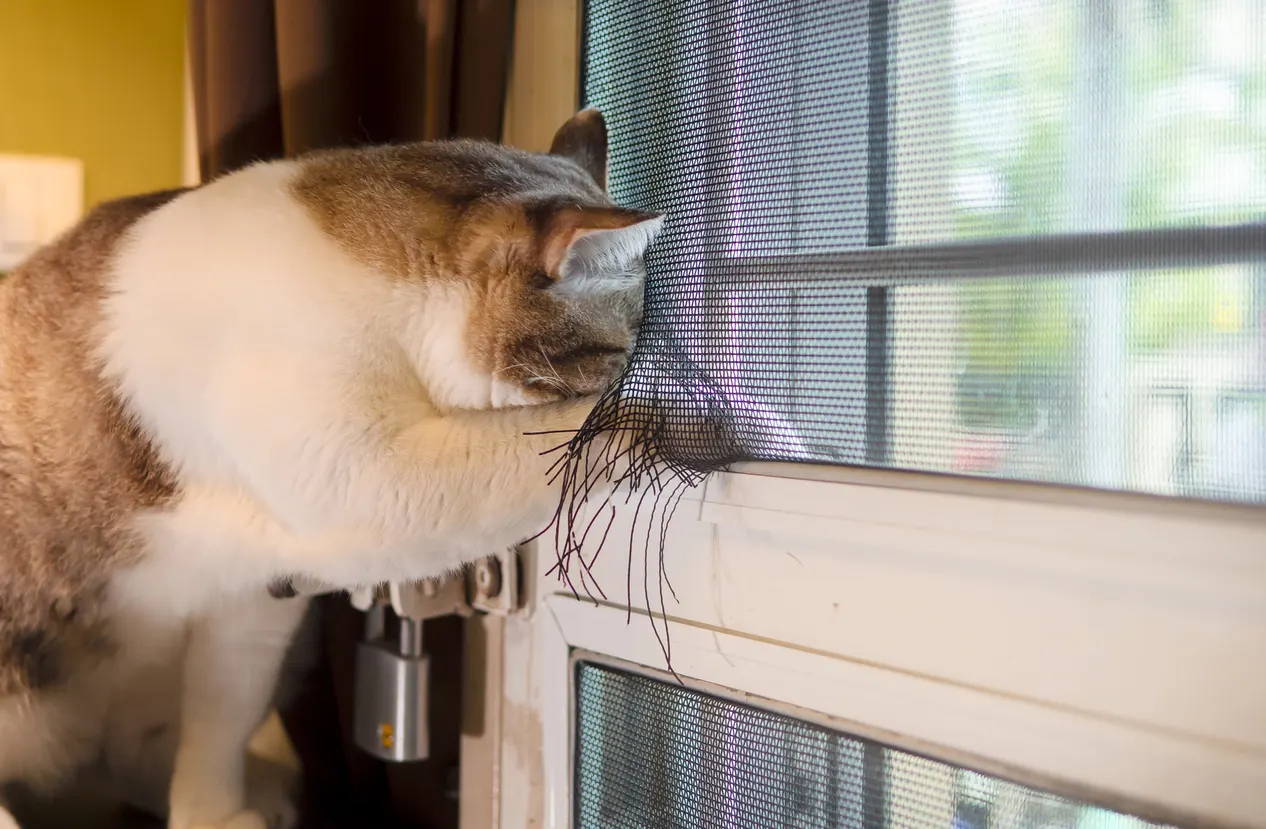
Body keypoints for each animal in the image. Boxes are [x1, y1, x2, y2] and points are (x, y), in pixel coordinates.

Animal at [0, 110, 658, 829]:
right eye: (627, 353)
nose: (654, 365)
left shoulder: (252, 604)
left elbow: (216, 730)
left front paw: (215, 813)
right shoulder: (368, 480)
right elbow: (560, 437)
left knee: (139, 754)